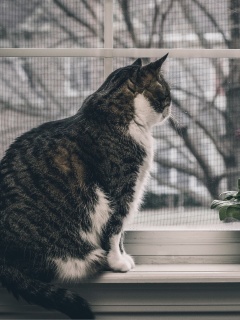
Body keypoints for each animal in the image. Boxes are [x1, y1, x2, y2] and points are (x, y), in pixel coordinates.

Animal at [0, 53, 171, 318]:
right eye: (166, 93)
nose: (171, 107)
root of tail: (3, 262)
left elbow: (121, 233)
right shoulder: (121, 189)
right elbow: (114, 231)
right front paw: (118, 263)